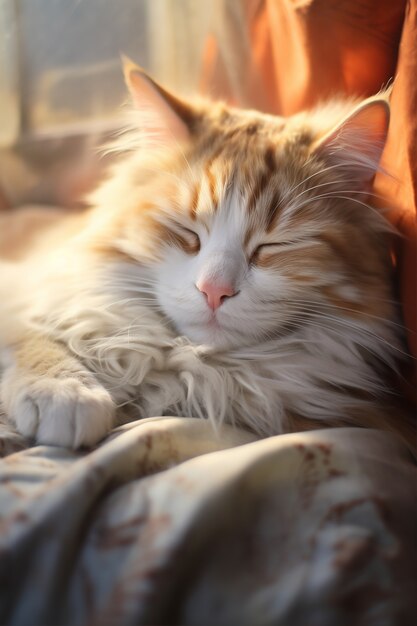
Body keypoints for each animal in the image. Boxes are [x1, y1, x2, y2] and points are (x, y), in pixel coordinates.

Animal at [0, 58, 408, 446]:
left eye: (275, 245)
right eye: (187, 233)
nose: (215, 291)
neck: (193, 366)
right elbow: (36, 333)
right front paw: (66, 391)